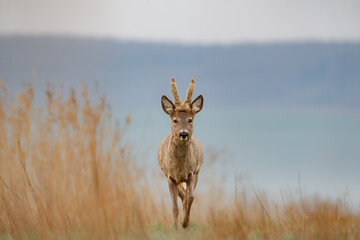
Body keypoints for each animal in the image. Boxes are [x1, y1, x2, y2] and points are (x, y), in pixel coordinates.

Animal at [157, 78, 204, 229]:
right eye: (175, 120)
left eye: (190, 119)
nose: (183, 133)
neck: (180, 168)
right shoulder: (170, 176)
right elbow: (174, 206)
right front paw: (177, 228)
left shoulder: (191, 173)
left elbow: (190, 198)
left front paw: (185, 223)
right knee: (180, 195)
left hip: (197, 173)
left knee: (185, 196)